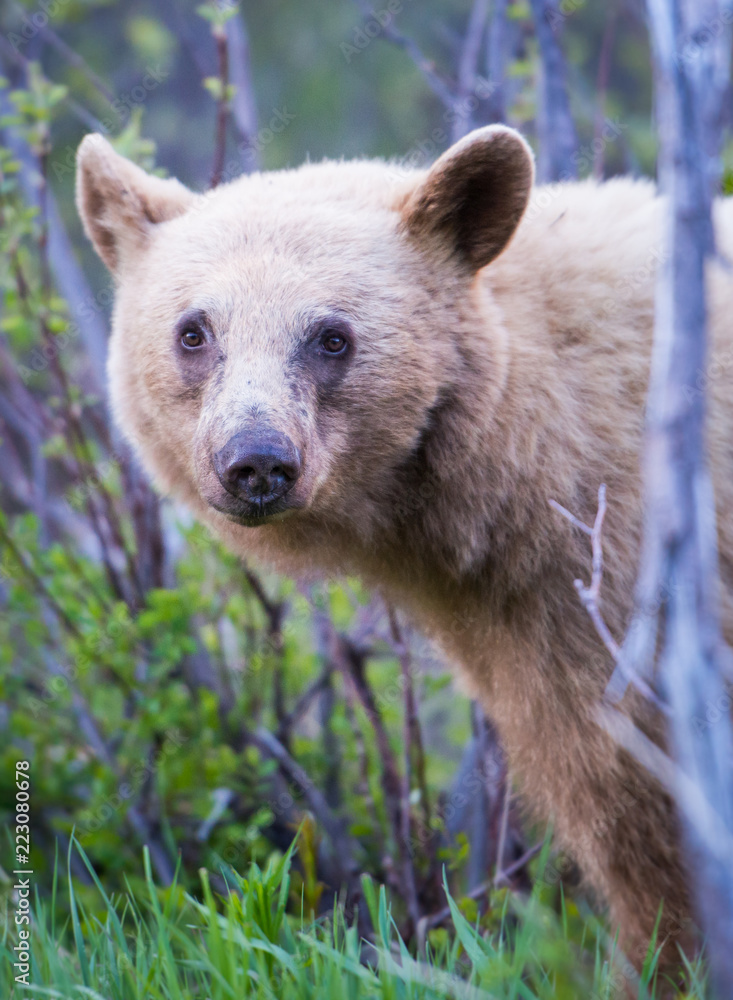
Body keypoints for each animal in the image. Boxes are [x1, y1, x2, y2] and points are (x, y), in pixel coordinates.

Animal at [75, 124, 733, 972]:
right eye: (193, 331)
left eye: (332, 337)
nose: (256, 461)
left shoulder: (628, 583)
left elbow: (637, 802)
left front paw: (663, 958)